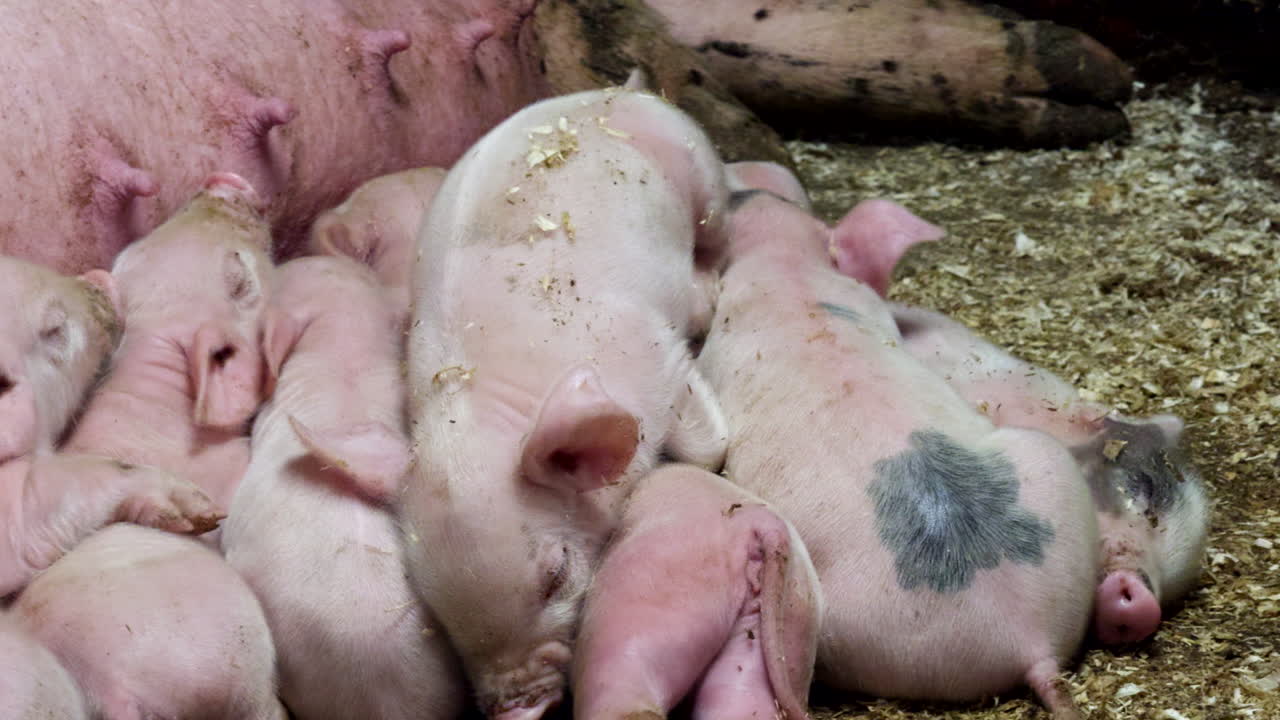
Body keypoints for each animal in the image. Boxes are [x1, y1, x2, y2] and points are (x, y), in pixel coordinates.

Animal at [401, 86, 731, 718]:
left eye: (556, 575)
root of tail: (614, 89)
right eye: (440, 612)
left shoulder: (661, 357)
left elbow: (710, 448)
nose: (518, 705)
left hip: (705, 177)